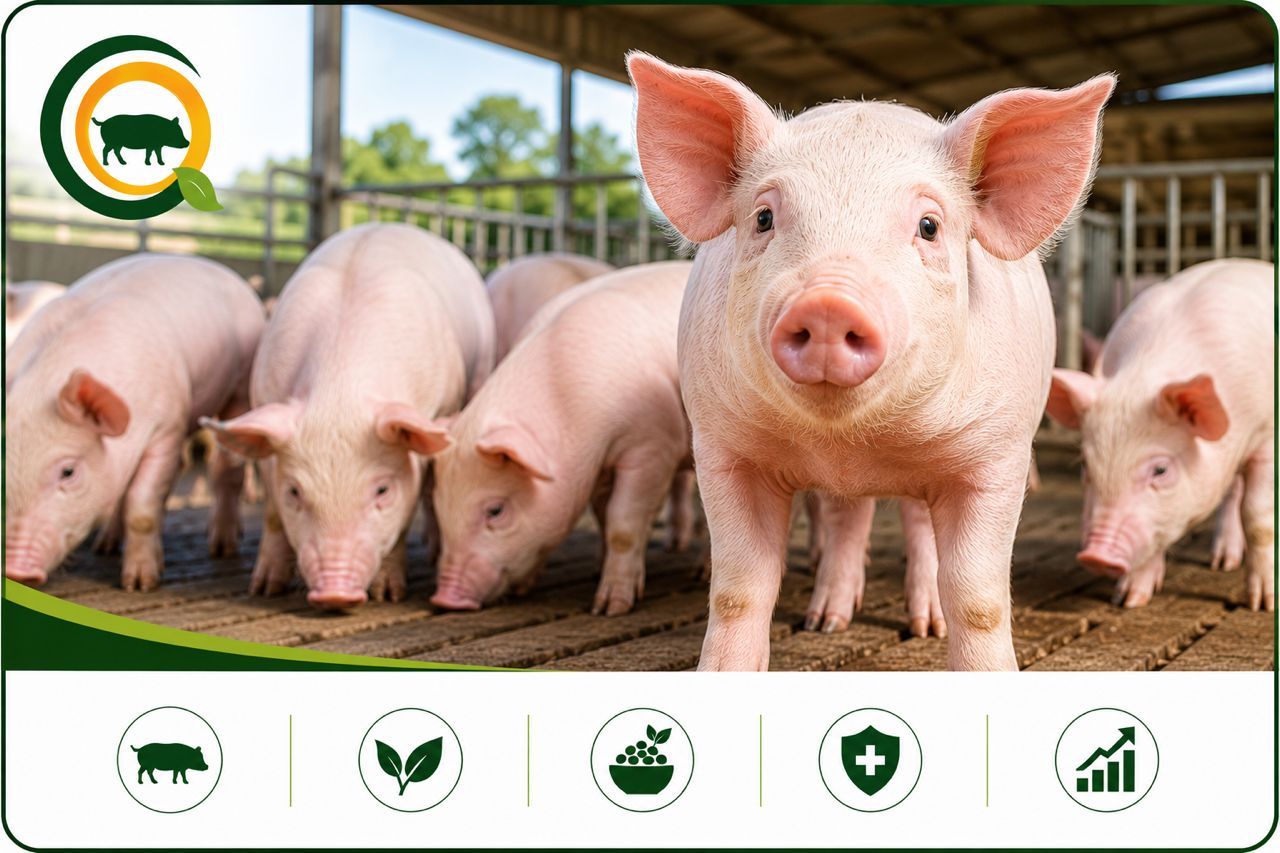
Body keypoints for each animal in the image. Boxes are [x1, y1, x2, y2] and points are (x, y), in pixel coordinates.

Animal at [5, 255, 263, 589]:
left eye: (68, 471)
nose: (14, 571)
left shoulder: (167, 426)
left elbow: (141, 505)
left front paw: (140, 584)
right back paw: (105, 546)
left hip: (240, 385)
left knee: (225, 470)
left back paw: (222, 548)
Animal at [202, 224, 495, 609]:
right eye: (294, 491)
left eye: (383, 490)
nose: (335, 593)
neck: (340, 393)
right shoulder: (265, 404)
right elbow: (272, 514)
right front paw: (264, 589)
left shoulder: (430, 415)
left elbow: (407, 513)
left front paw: (388, 595)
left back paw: (433, 552)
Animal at [429, 261, 694, 615]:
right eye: (439, 503)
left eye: (496, 511)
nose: (444, 599)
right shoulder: (600, 466)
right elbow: (603, 517)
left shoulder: (652, 445)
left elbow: (622, 524)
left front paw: (609, 608)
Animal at [628, 53, 1115, 670]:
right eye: (763, 218)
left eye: (929, 226)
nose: (829, 302)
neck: (854, 440)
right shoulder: (724, 446)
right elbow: (740, 589)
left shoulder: (996, 454)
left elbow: (978, 597)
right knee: (847, 518)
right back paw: (828, 621)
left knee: (915, 525)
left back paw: (924, 623)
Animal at [1045, 259, 1274, 610]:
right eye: (1085, 466)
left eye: (1161, 470)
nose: (1096, 556)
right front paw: (1129, 601)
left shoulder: (1265, 435)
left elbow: (1258, 517)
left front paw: (1261, 604)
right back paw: (1222, 562)